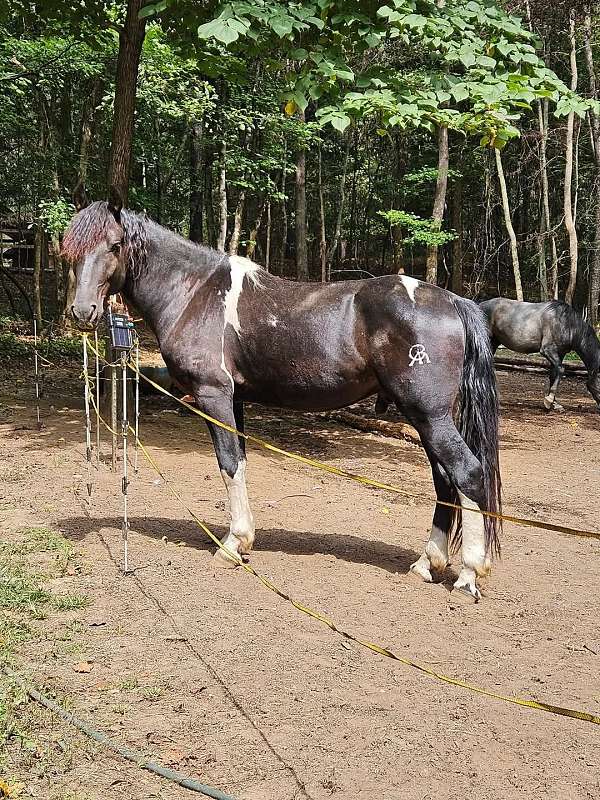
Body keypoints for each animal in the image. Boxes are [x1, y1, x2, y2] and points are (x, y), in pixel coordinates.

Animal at [62, 188, 502, 600]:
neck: (193, 292)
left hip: (428, 415)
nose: (82, 312)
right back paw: (427, 564)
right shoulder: (235, 399)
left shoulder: (214, 395)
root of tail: (453, 300)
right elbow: (239, 460)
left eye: (114, 246)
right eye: (70, 250)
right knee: (445, 481)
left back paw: (467, 575)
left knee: (467, 473)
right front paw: (242, 540)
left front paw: (232, 545)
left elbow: (228, 464)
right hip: (424, 418)